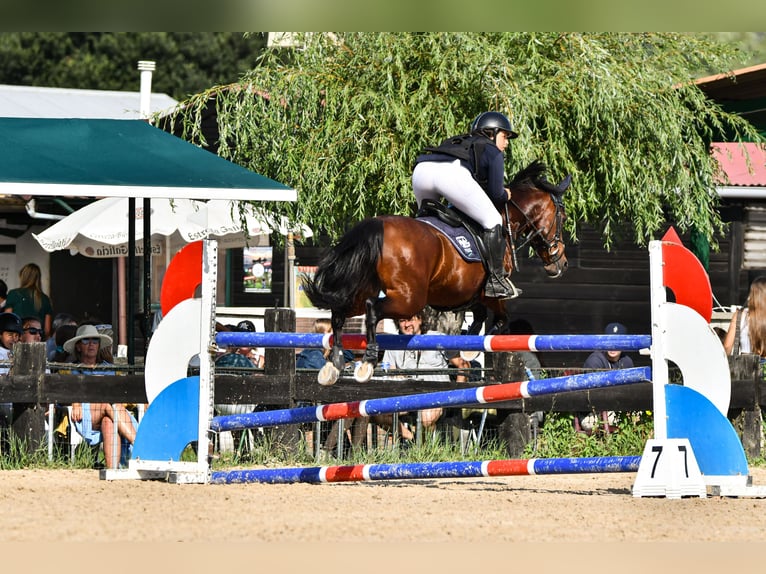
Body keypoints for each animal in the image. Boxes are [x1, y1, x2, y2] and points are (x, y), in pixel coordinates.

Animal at [304, 161, 572, 388]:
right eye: (563, 217)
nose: (561, 263)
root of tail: (377, 226)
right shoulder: (490, 292)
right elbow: (500, 319)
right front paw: (471, 349)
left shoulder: (463, 293)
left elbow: (480, 315)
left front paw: (466, 345)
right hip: (410, 299)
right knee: (372, 309)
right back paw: (368, 361)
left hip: (363, 292)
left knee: (340, 313)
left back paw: (334, 363)